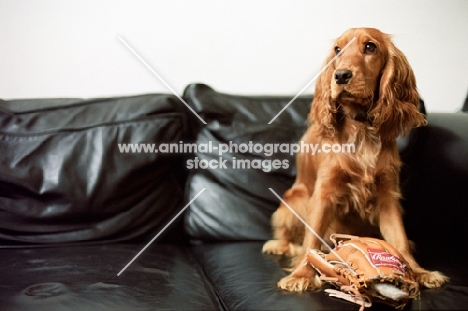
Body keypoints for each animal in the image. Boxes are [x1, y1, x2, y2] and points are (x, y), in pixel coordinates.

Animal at [262, 28, 448, 294]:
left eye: (370, 47)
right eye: (337, 50)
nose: (340, 75)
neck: (361, 130)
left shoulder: (387, 196)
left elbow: (400, 240)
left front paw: (419, 272)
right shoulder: (324, 193)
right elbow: (311, 239)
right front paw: (301, 275)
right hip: (294, 201)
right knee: (291, 238)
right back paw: (280, 245)